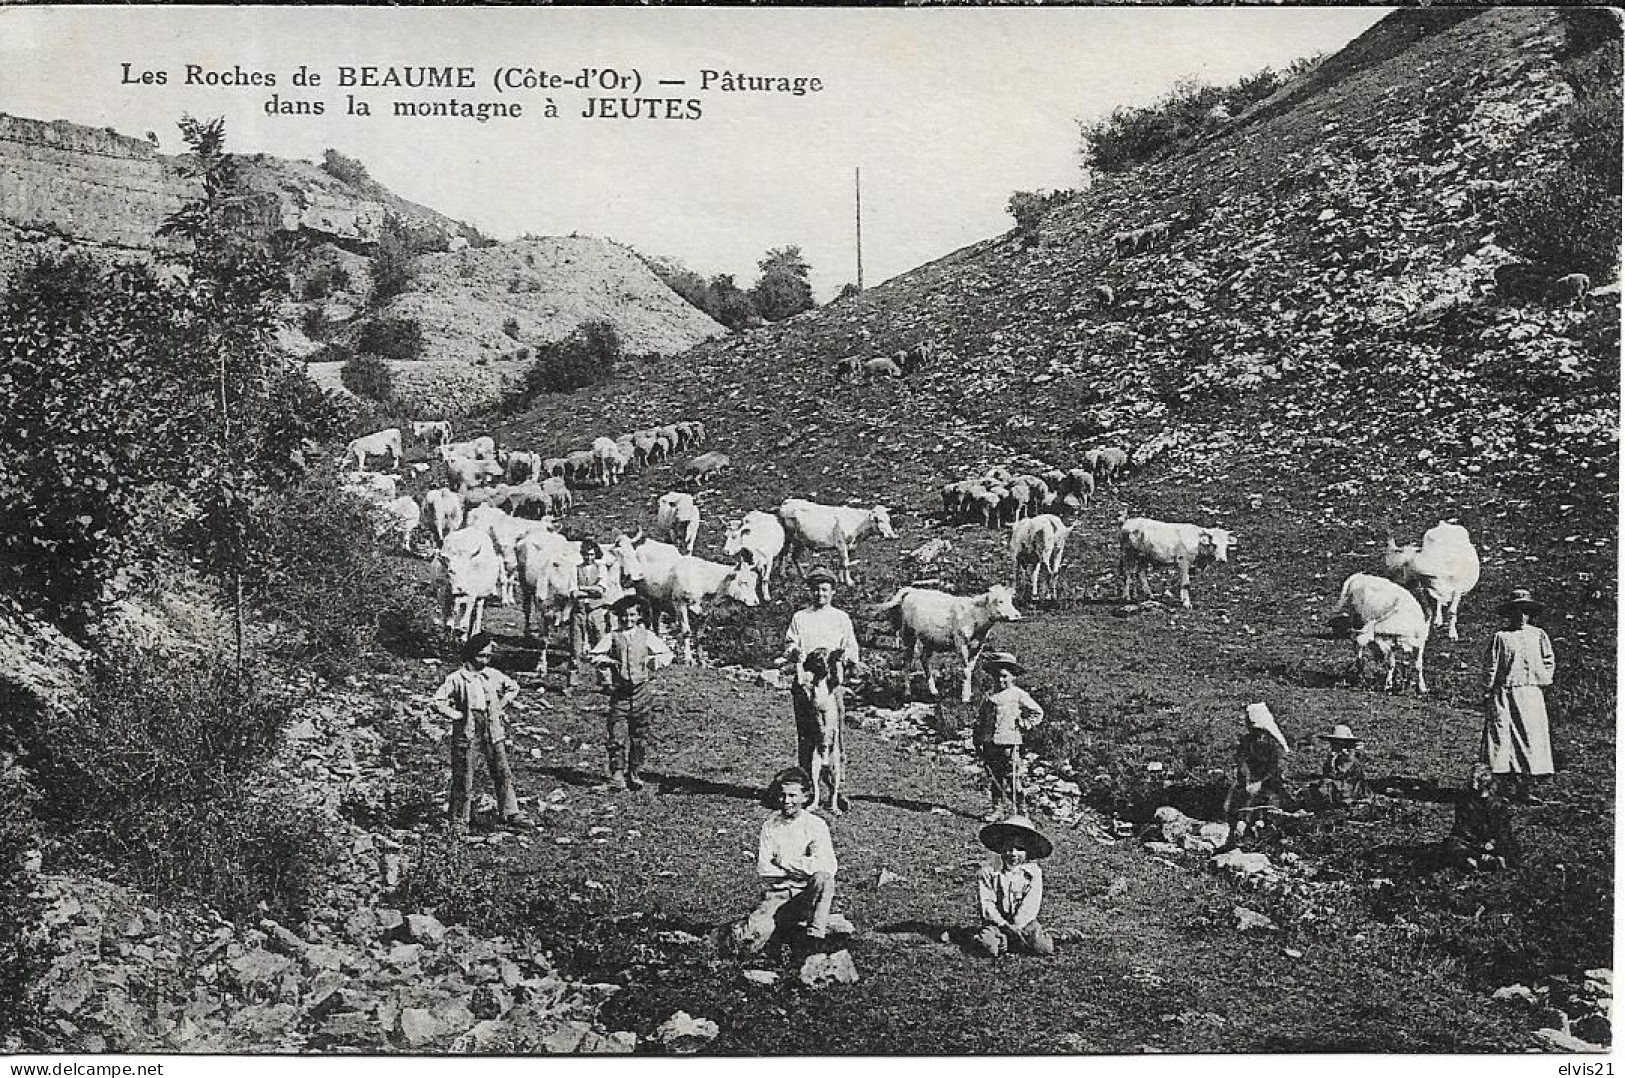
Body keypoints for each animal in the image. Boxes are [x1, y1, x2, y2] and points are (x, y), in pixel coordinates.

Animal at [627, 536, 767, 663]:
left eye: (755, 583)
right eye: (744, 582)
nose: (756, 602)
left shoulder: (706, 610)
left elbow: (699, 635)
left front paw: (701, 660)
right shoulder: (680, 603)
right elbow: (686, 631)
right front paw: (689, 659)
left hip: (657, 599)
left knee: (656, 621)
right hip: (642, 595)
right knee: (647, 619)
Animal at [884, 585, 1020, 705]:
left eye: (1011, 600)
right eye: (1000, 601)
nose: (1017, 615)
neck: (974, 617)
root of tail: (913, 590)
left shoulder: (978, 646)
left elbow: (970, 669)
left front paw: (968, 694)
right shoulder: (961, 643)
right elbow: (965, 670)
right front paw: (965, 698)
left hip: (929, 640)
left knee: (924, 659)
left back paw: (933, 691)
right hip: (908, 634)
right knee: (907, 661)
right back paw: (907, 692)